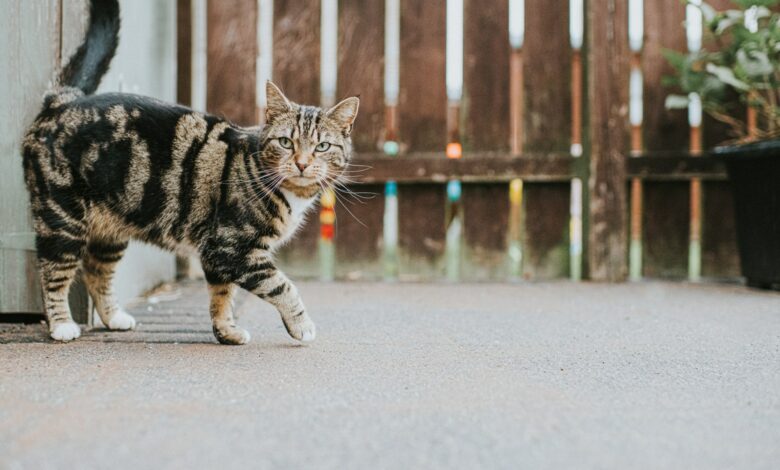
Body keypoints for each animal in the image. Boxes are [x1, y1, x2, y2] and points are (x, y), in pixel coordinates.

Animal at [19, 0, 358, 346]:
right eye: (286, 142)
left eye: (322, 147)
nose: (302, 163)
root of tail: (62, 102)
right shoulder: (231, 248)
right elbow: (282, 285)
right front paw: (302, 325)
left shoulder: (217, 257)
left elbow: (222, 296)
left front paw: (227, 331)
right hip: (62, 218)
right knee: (53, 271)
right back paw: (62, 325)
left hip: (111, 230)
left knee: (96, 270)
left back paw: (114, 318)